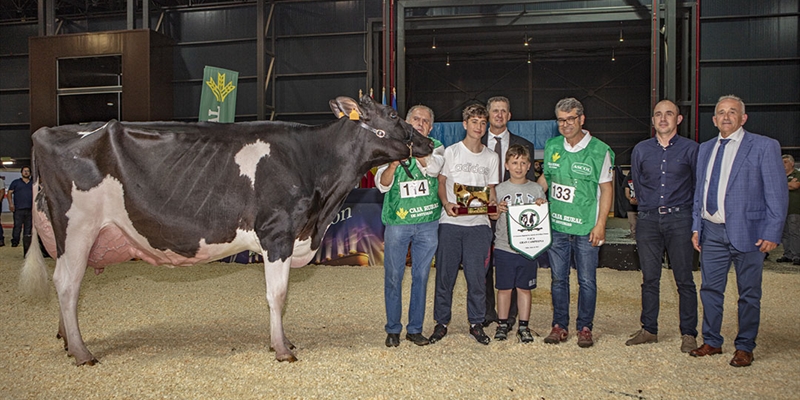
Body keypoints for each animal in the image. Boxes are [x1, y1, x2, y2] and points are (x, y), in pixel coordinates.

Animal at [18, 95, 432, 364]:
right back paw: (82, 352)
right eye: (392, 113)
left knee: (65, 283)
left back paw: (67, 342)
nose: (427, 141)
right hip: (77, 228)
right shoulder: (277, 233)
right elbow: (277, 295)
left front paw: (284, 342)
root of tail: (47, 132)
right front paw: (282, 349)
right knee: (67, 284)